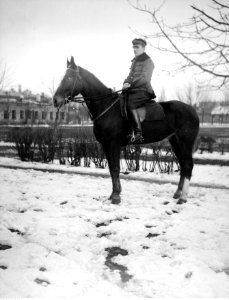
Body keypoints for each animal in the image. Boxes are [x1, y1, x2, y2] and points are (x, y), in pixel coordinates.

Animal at [53, 56, 199, 205]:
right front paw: (113, 195)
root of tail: (192, 109)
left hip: (185, 142)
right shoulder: (106, 145)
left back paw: (183, 197)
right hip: (175, 142)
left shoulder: (114, 144)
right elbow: (112, 169)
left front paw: (116, 196)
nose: (55, 100)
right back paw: (178, 193)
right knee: (183, 165)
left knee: (188, 165)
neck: (107, 107)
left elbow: (116, 168)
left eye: (69, 77)